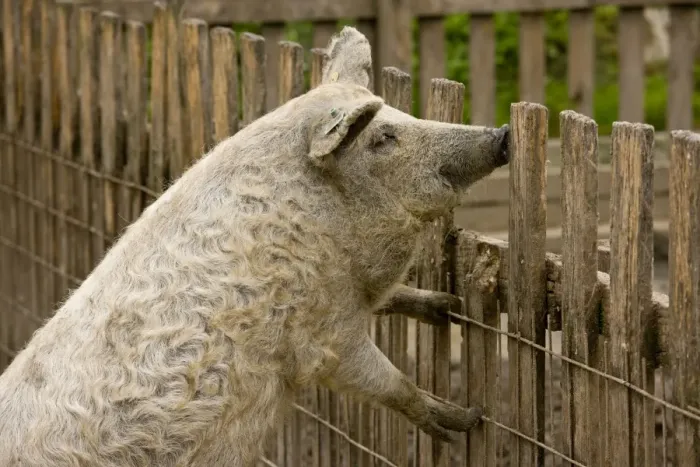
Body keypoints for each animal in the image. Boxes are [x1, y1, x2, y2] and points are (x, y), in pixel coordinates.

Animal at [0, 26, 509, 467]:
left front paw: (447, 304)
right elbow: (386, 380)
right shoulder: (322, 335)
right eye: (383, 137)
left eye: (400, 116)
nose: (502, 135)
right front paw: (464, 421)